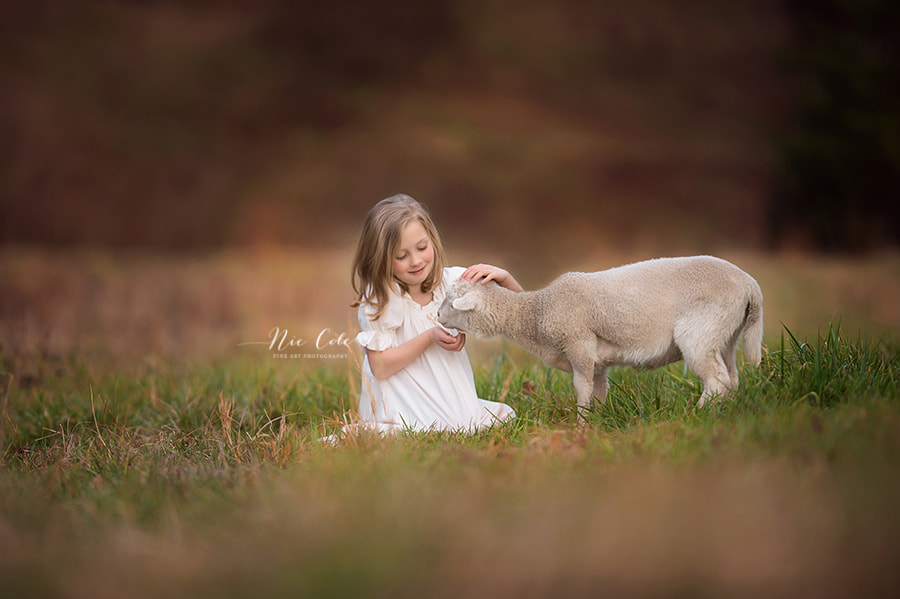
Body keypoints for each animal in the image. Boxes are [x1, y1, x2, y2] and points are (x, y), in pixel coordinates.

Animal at [440, 255, 764, 414]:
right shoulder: (598, 360)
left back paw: (695, 413)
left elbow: (581, 388)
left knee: (717, 381)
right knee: (731, 377)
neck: (537, 313)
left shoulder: (579, 344)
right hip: (725, 333)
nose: (438, 316)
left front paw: (581, 423)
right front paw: (596, 420)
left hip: (700, 330)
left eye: (452, 301)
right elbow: (598, 389)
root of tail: (750, 286)